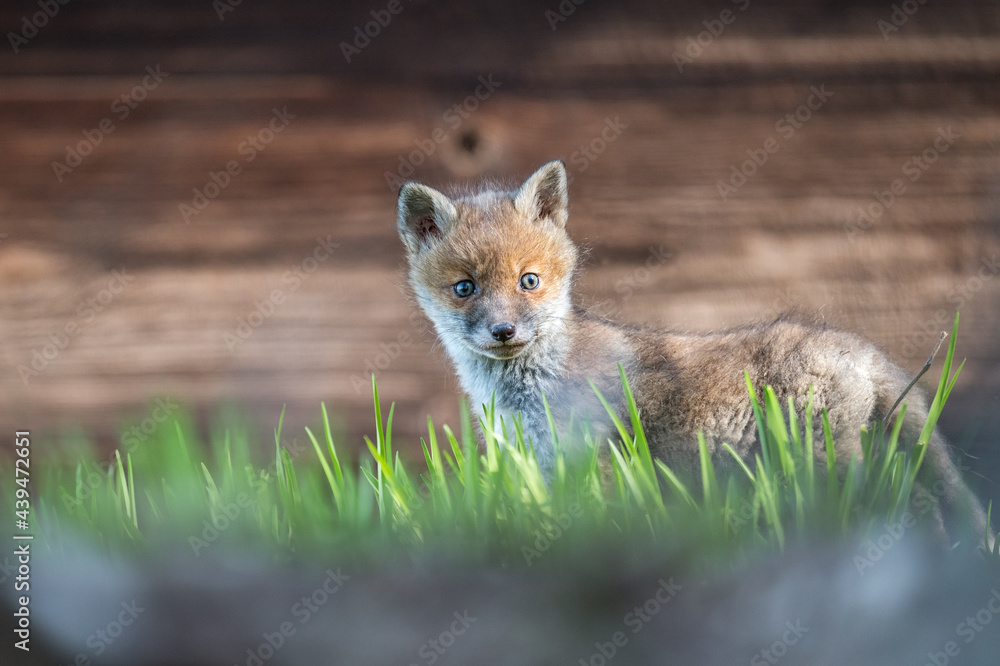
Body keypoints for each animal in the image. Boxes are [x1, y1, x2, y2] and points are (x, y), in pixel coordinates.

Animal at [395, 159, 991, 548]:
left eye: (529, 281)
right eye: (465, 288)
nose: (504, 331)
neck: (525, 395)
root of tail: (859, 348)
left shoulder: (597, 462)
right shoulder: (541, 468)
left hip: (825, 462)